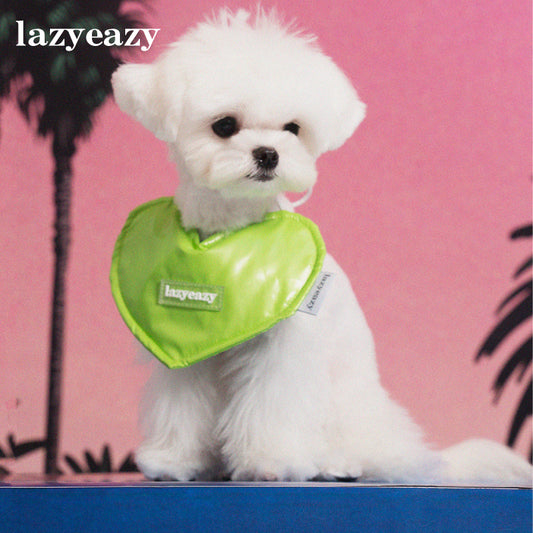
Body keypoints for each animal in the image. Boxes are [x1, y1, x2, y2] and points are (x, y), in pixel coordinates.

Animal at [110, 8, 528, 484]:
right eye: (224, 126)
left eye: (293, 129)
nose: (268, 153)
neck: (228, 234)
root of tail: (424, 458)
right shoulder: (185, 346)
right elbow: (181, 404)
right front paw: (174, 459)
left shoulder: (283, 349)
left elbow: (273, 406)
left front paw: (271, 461)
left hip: (350, 410)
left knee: (367, 451)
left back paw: (335, 462)